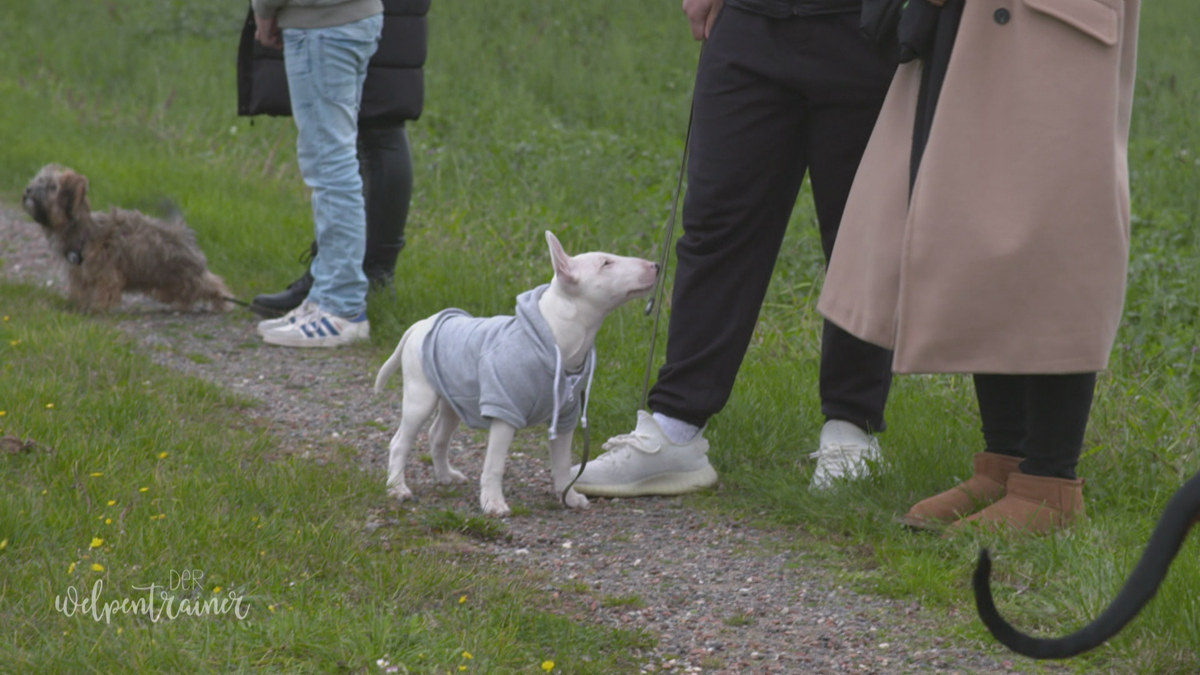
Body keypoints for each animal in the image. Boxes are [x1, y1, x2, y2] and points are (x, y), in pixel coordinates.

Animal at [21, 164, 230, 312]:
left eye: (52, 187)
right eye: (37, 181)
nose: (28, 190)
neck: (84, 231)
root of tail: (180, 229)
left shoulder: (106, 271)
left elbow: (105, 290)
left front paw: (99, 308)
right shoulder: (79, 273)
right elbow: (80, 289)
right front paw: (78, 305)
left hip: (186, 271)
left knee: (212, 283)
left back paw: (221, 303)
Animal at [372, 230, 657, 514]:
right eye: (606, 263)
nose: (655, 265)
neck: (557, 334)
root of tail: (421, 324)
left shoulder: (565, 416)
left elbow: (562, 464)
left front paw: (569, 496)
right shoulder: (504, 411)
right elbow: (495, 464)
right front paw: (493, 503)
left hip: (452, 398)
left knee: (438, 435)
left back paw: (445, 476)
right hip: (420, 397)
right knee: (400, 442)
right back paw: (397, 488)